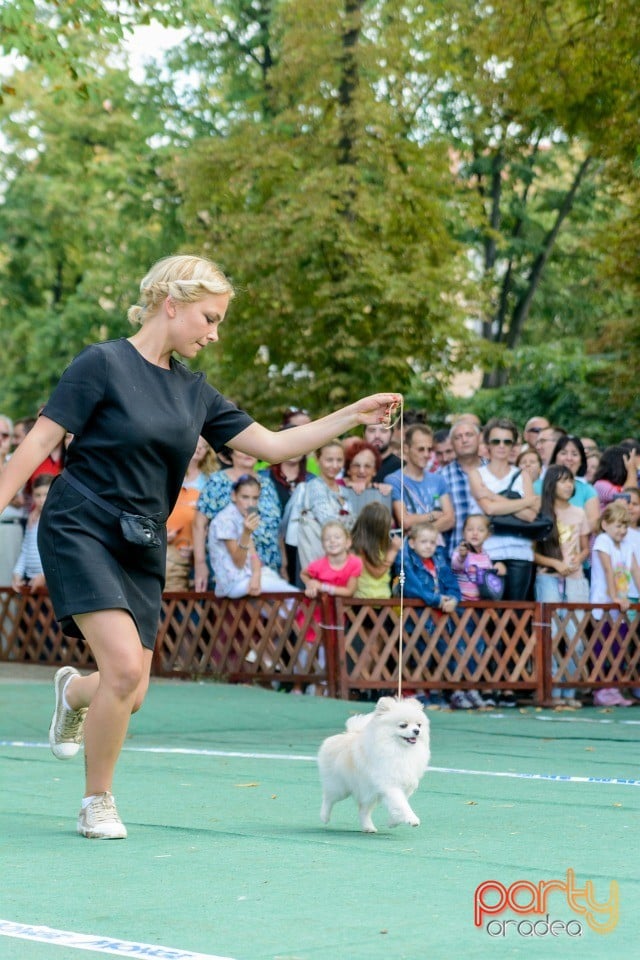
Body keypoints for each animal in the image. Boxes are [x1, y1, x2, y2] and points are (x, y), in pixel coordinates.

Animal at [318, 696, 430, 832]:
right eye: (403, 725)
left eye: (419, 725)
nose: (417, 731)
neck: (400, 750)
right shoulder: (389, 784)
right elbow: (401, 803)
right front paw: (411, 818)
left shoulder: (405, 786)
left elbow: (398, 804)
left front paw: (394, 822)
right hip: (340, 787)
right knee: (328, 798)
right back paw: (324, 817)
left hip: (369, 792)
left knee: (363, 810)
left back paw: (368, 827)